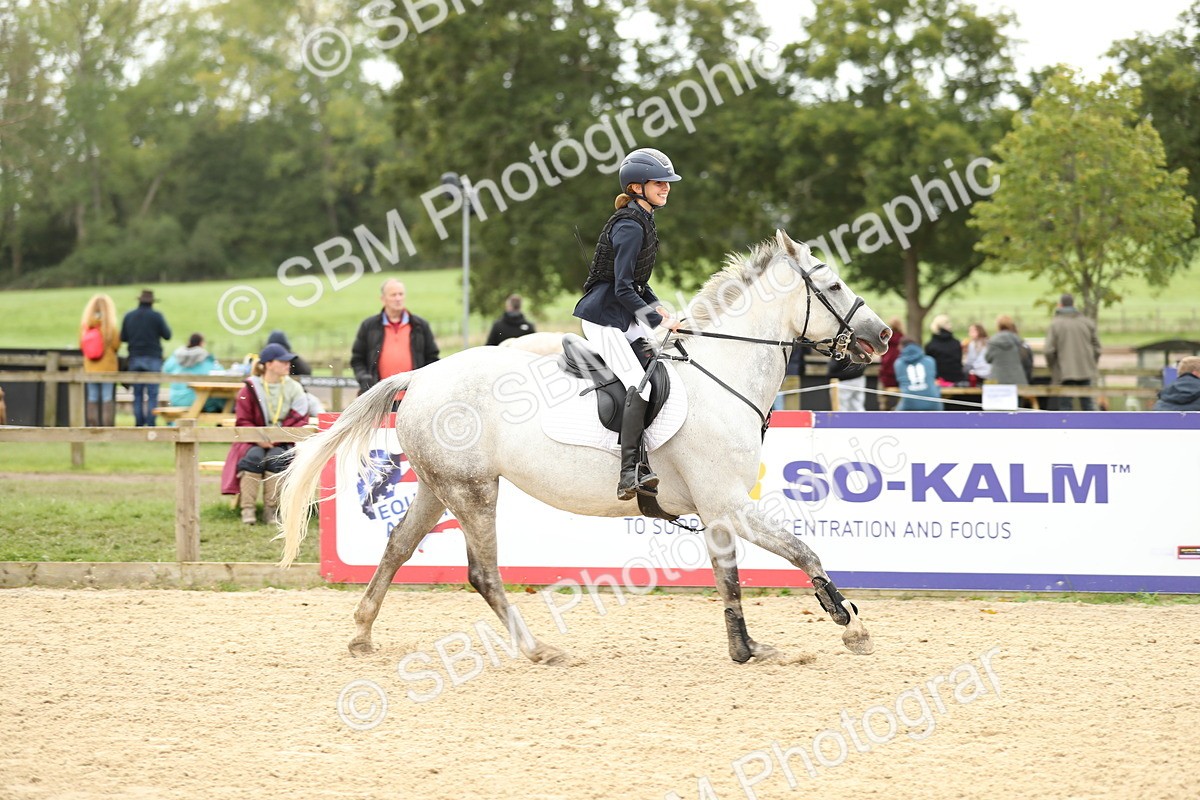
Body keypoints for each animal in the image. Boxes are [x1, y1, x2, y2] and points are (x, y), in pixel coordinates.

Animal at [277, 230, 893, 663]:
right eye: (832, 287)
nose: (883, 335)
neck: (724, 372)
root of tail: (423, 375)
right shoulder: (729, 503)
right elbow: (803, 551)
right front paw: (853, 624)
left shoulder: (717, 510)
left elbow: (730, 578)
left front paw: (746, 649)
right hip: (473, 491)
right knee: (484, 573)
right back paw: (537, 649)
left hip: (438, 486)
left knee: (398, 548)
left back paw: (361, 633)